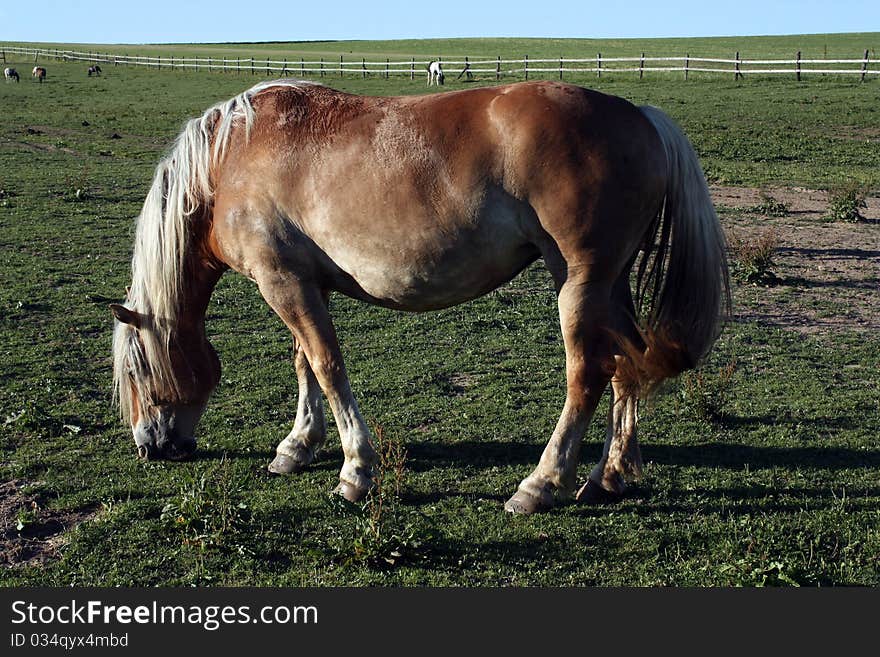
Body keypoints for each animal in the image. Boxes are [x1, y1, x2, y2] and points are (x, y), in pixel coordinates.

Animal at [110, 79, 728, 516]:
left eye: (137, 373)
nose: (149, 446)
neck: (229, 164)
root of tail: (640, 117)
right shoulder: (301, 284)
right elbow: (305, 363)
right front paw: (297, 447)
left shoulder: (281, 281)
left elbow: (328, 366)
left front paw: (355, 472)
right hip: (609, 286)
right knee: (626, 364)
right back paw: (610, 476)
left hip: (579, 284)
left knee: (589, 374)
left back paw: (541, 484)